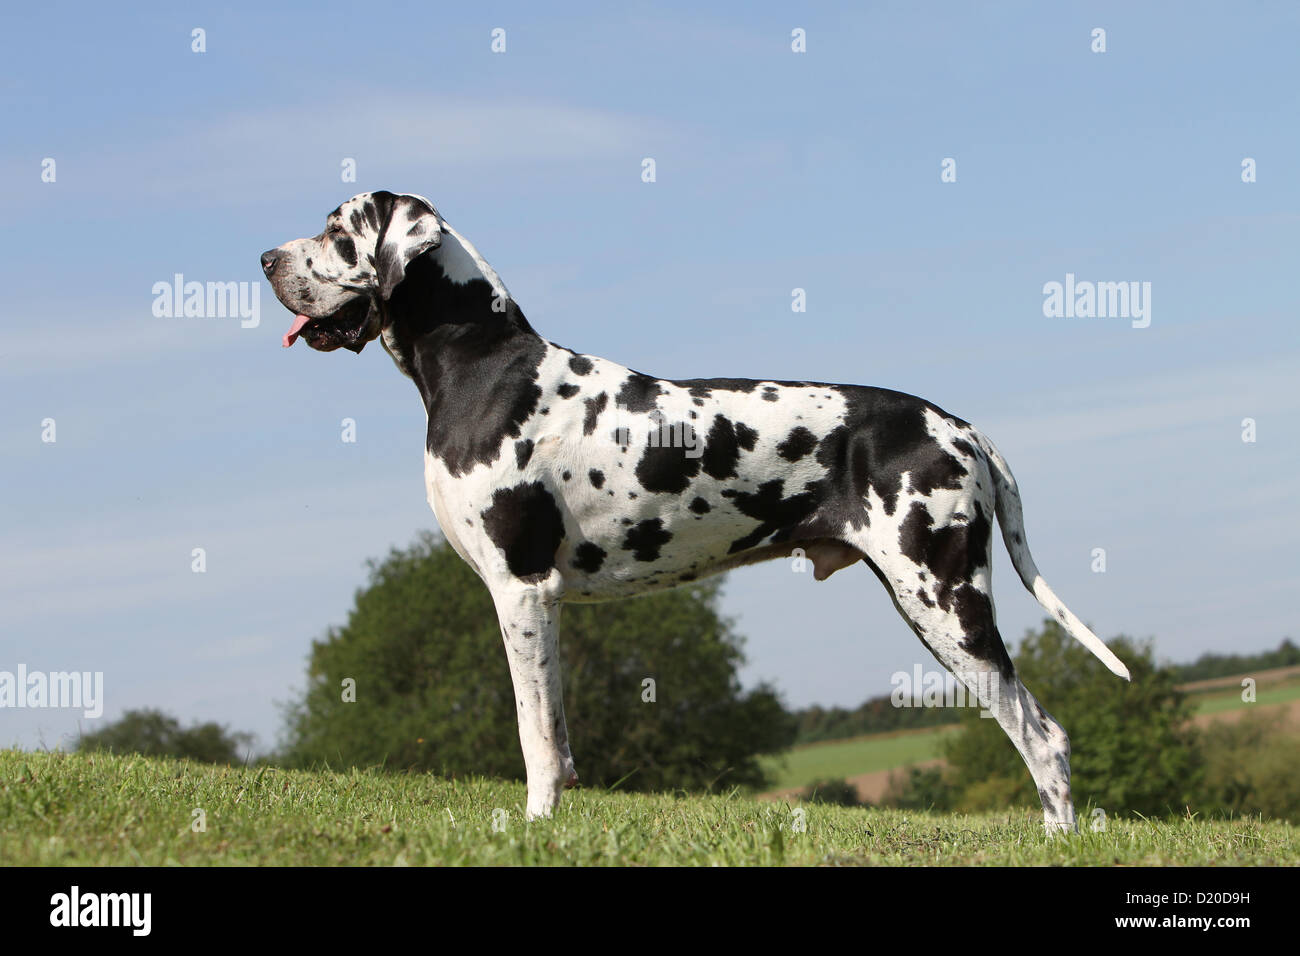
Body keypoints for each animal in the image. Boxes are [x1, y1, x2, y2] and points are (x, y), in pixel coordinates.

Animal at [261, 188, 1128, 832]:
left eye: (337, 233)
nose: (265, 258)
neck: (482, 365)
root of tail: (962, 428)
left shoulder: (522, 590)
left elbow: (533, 735)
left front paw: (534, 827)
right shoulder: (541, 605)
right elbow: (560, 738)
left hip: (945, 602)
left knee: (1042, 735)